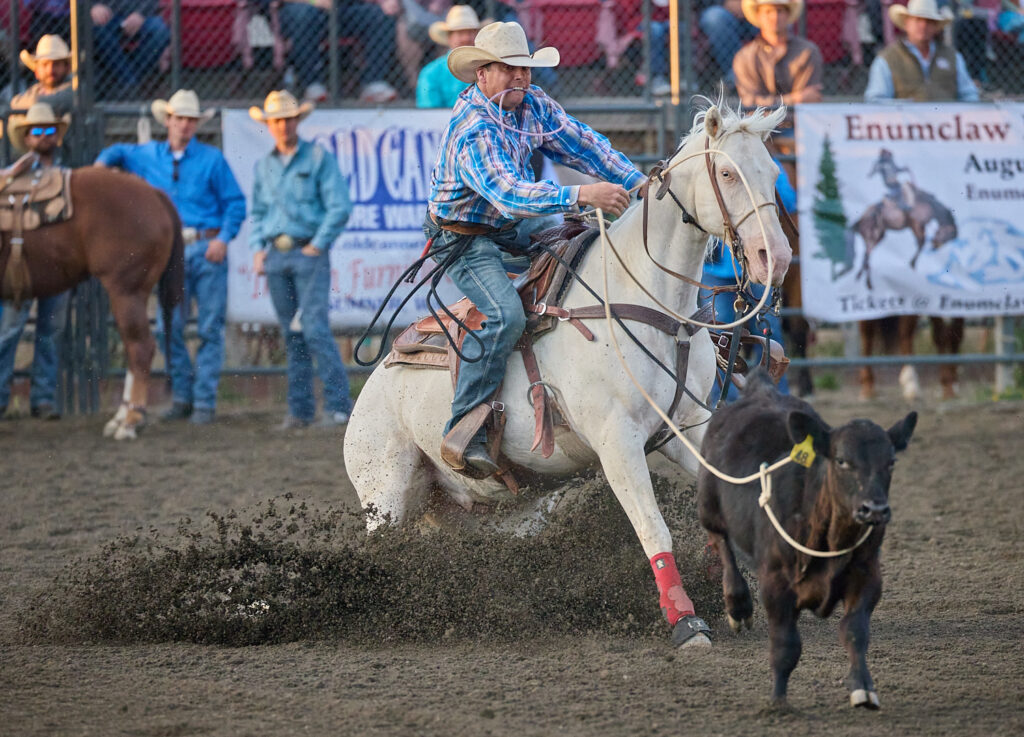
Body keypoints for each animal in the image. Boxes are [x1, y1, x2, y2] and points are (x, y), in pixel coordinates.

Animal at [344, 102, 790, 646]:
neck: (650, 302)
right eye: (726, 173)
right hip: (385, 492)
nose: (777, 258)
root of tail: (372, 385)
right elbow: (652, 527)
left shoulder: (689, 424)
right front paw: (686, 622)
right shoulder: (617, 440)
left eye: (773, 173)